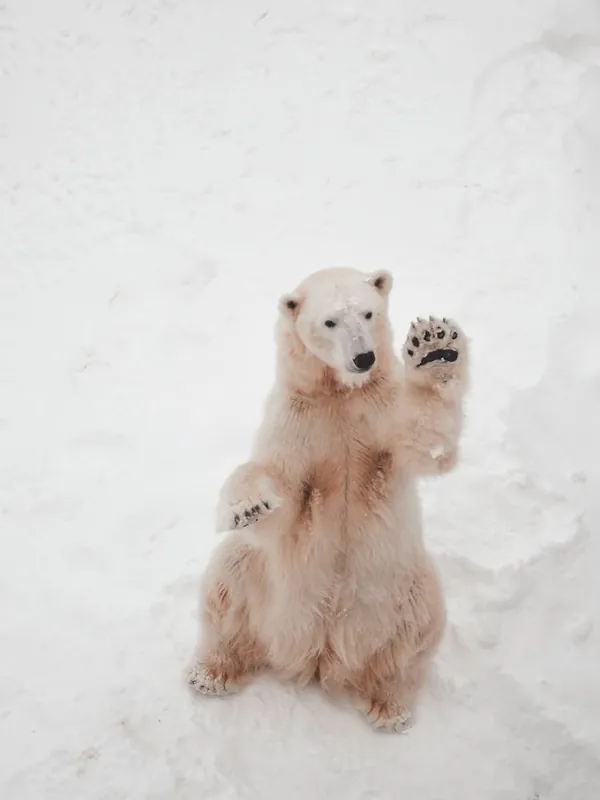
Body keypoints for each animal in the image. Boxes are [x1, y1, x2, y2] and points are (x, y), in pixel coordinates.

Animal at [188, 267, 469, 732]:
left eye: (369, 312)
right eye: (330, 321)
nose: (364, 358)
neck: (341, 393)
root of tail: (321, 654)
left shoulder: (379, 409)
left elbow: (425, 443)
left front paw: (435, 349)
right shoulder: (298, 418)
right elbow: (278, 488)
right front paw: (248, 506)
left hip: (402, 583)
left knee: (416, 630)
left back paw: (389, 706)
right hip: (267, 587)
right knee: (228, 579)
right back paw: (211, 672)